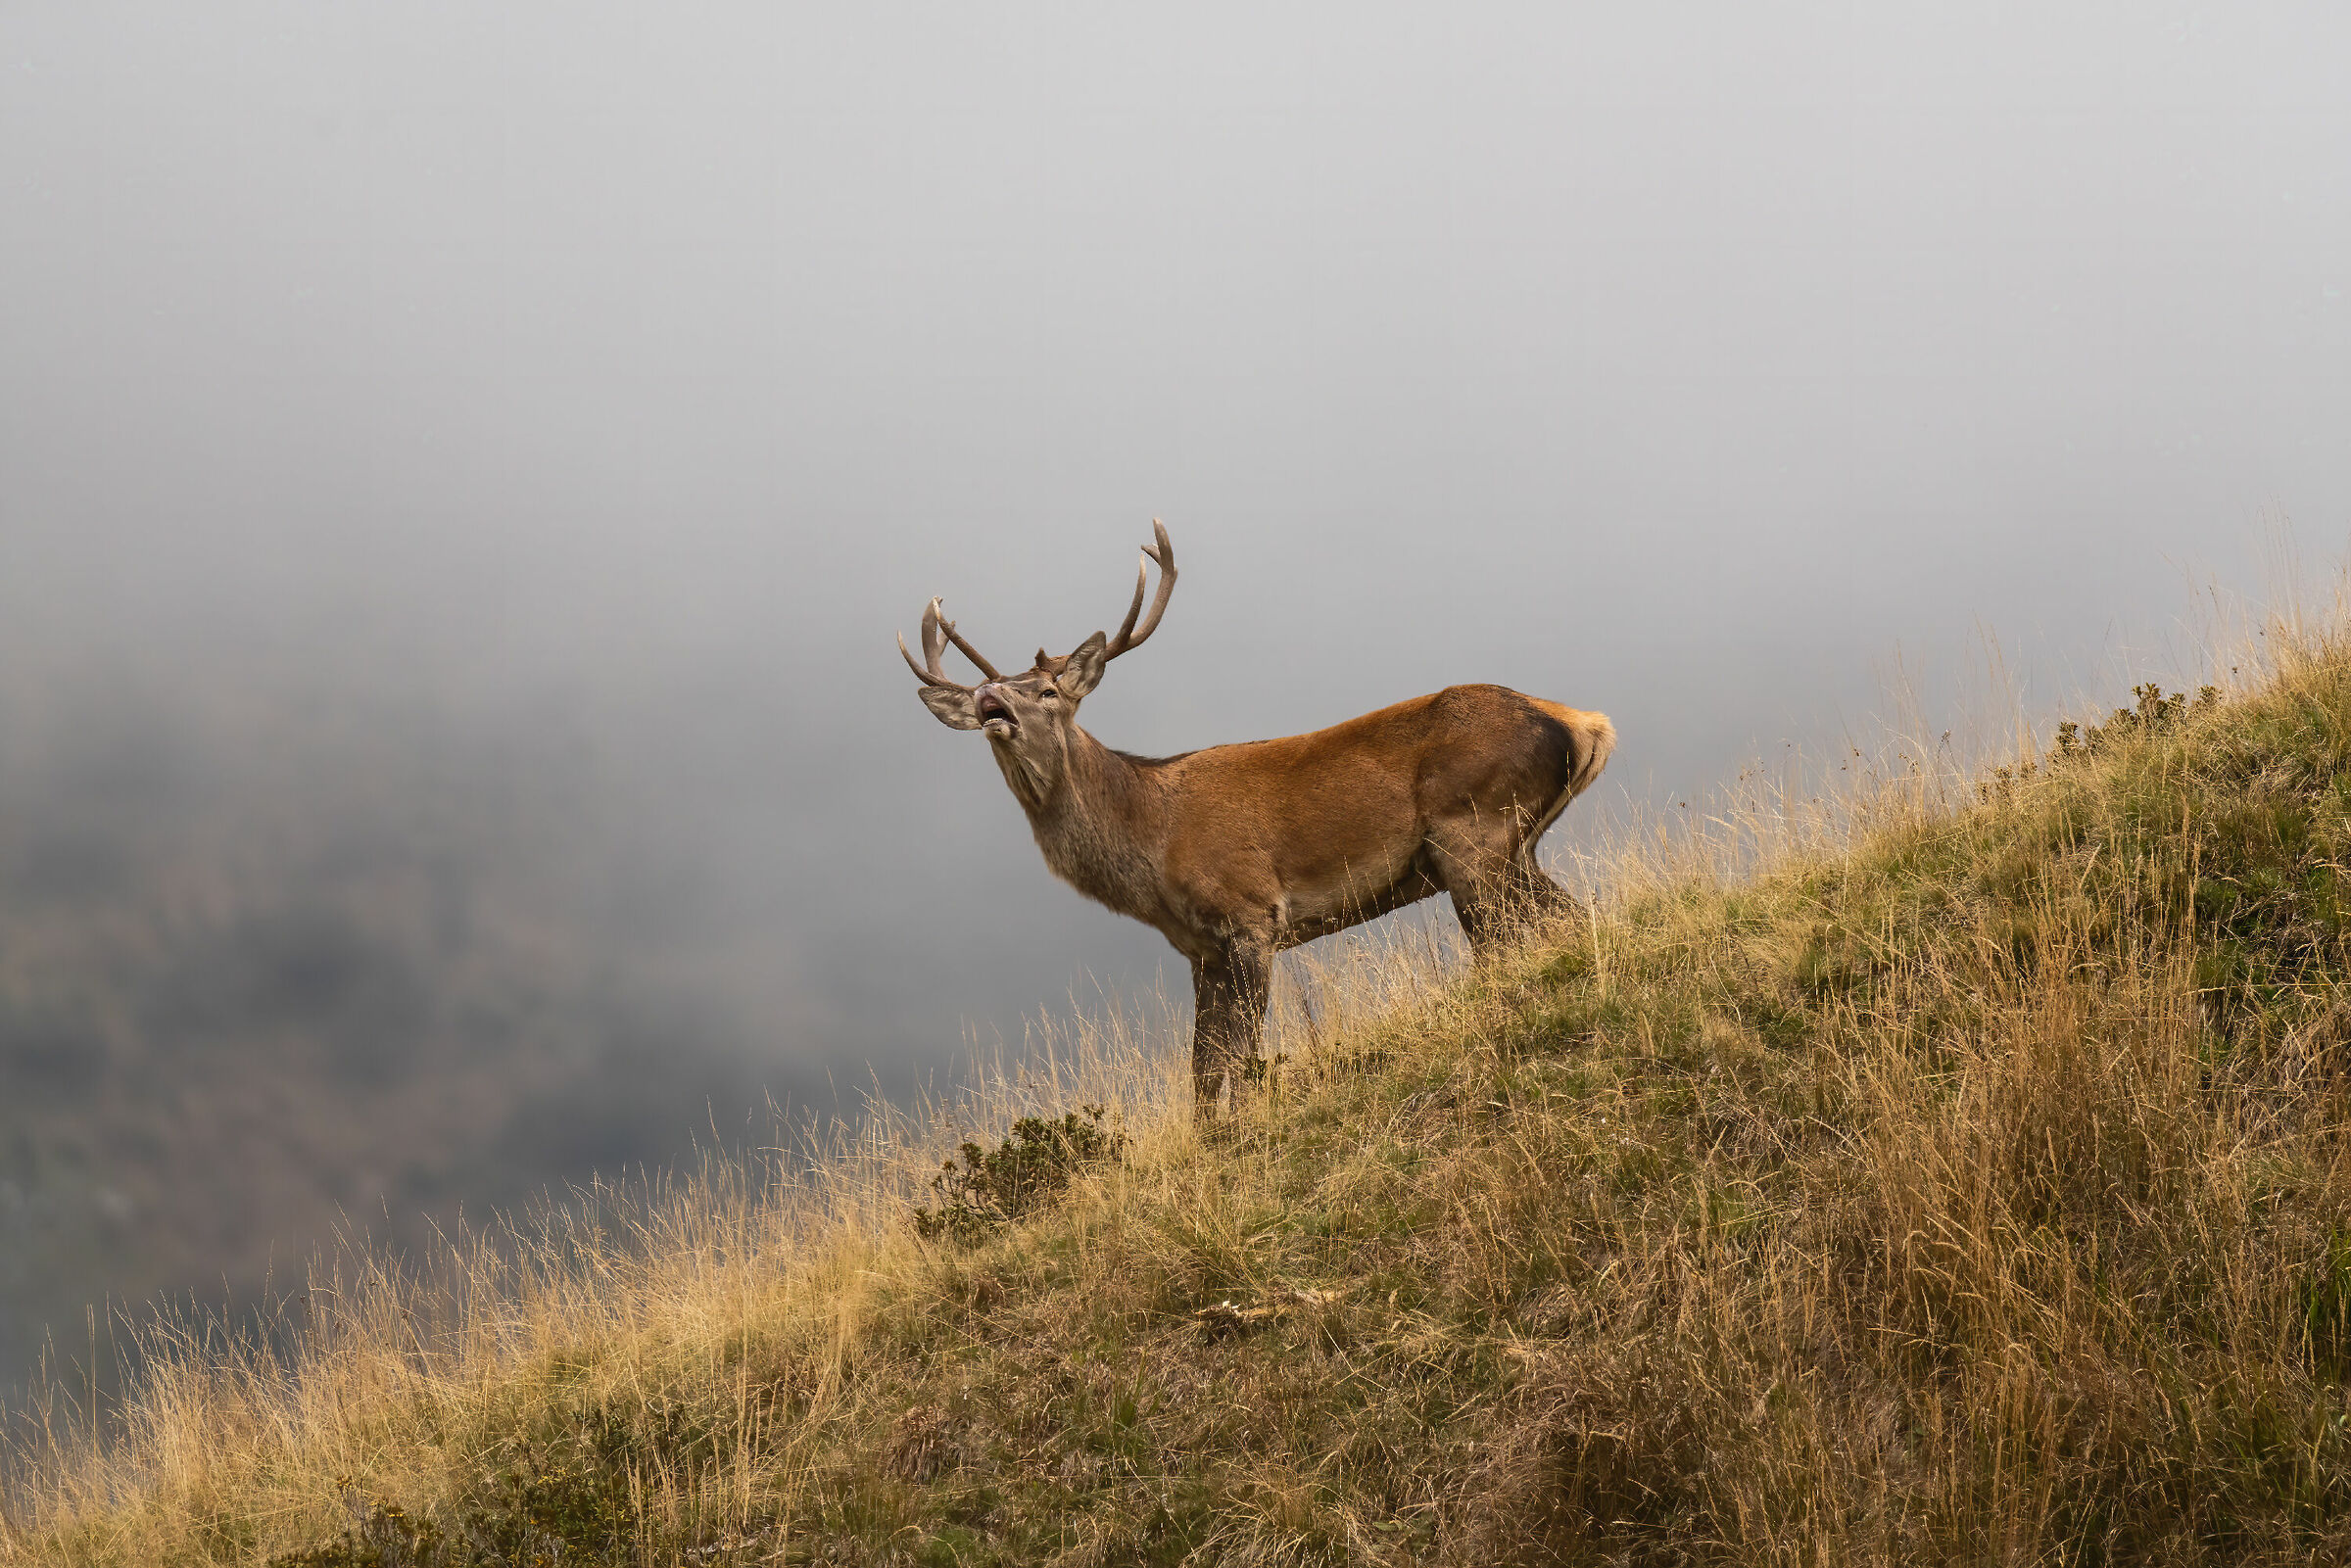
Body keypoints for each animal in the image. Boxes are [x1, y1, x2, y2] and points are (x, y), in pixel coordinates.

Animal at [900, 521, 1614, 1107]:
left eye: (1048, 691)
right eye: (987, 691)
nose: (991, 700)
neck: (1152, 842)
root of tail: (1581, 723)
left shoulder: (1250, 914)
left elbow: (1241, 1063)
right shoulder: (1200, 950)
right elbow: (1202, 1071)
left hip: (1474, 833)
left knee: (1517, 941)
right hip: (1508, 844)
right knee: (1571, 919)